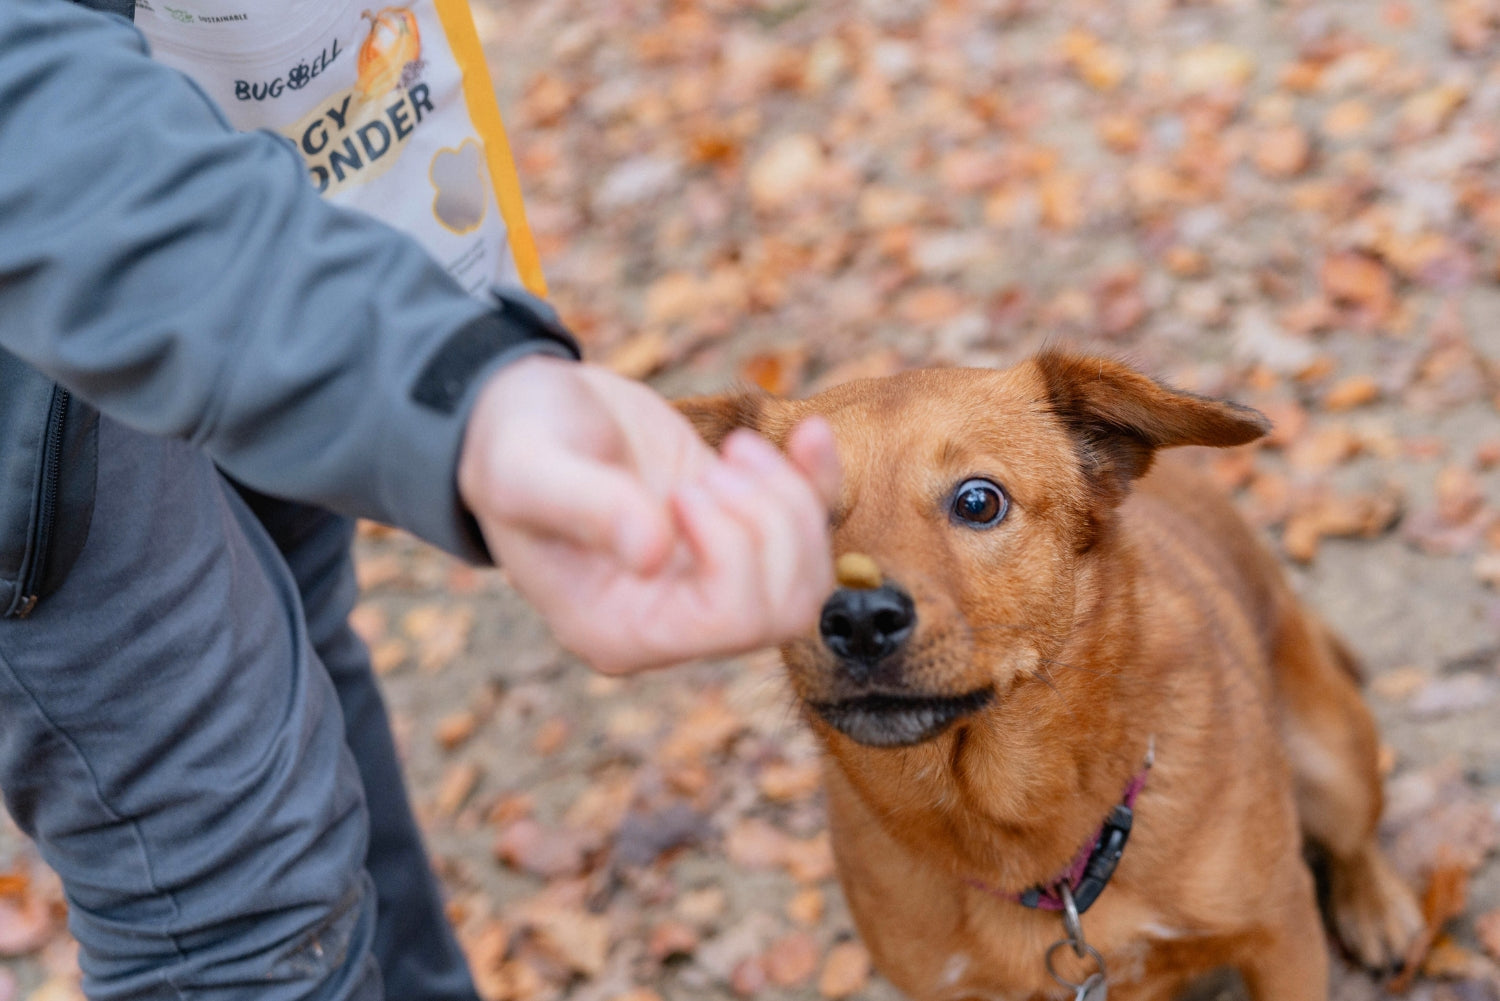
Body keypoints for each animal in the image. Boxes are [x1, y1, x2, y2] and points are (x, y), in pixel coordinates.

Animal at [687, 354, 1422, 1001]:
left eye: (978, 502)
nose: (860, 618)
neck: (1020, 836)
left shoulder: (1279, 932)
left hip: (1330, 760)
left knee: (1356, 837)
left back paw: (1379, 907)